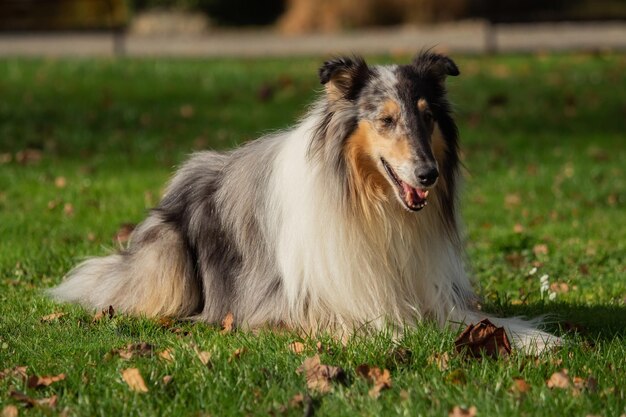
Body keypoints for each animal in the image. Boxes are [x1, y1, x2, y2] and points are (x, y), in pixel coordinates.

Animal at [50, 51, 556, 352]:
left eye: (427, 117)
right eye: (386, 120)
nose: (428, 175)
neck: (372, 208)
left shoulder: (432, 292)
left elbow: (486, 321)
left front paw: (538, 340)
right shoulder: (293, 307)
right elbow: (386, 325)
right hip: (170, 262)